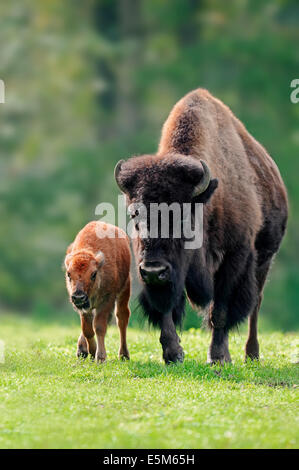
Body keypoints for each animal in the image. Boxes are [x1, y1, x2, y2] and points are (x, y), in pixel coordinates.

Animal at [64, 222, 131, 362]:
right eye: (68, 274)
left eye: (93, 274)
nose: (78, 296)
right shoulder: (83, 308)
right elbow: (87, 329)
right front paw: (91, 351)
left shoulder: (106, 301)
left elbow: (99, 327)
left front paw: (100, 357)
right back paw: (82, 350)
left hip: (125, 287)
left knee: (122, 317)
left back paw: (124, 355)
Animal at [115, 90, 288, 366]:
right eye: (134, 214)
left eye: (183, 216)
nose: (154, 269)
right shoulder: (165, 274)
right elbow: (166, 307)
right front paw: (173, 353)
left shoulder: (235, 258)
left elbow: (221, 310)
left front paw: (218, 357)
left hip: (264, 259)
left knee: (255, 304)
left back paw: (251, 354)